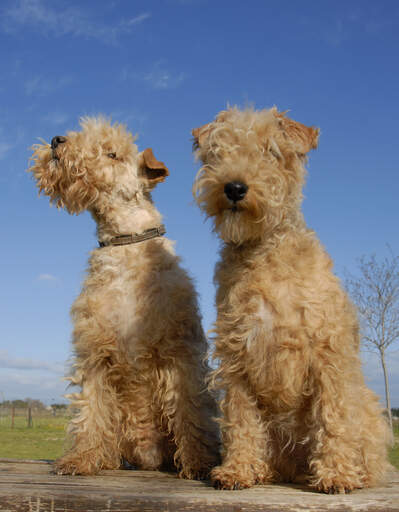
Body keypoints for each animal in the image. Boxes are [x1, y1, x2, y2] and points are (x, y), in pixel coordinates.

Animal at [28, 118, 219, 478]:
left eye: (112, 153)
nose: (57, 141)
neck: (126, 244)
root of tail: (148, 458)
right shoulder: (94, 352)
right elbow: (90, 410)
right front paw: (80, 459)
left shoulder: (180, 352)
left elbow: (190, 412)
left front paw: (199, 463)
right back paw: (105, 457)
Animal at [192, 107, 390, 492]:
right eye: (218, 150)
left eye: (272, 151)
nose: (234, 187)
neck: (265, 253)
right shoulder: (237, 357)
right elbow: (239, 418)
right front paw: (237, 470)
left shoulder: (327, 352)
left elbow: (333, 417)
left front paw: (335, 474)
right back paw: (262, 470)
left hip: (370, 412)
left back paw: (354, 472)